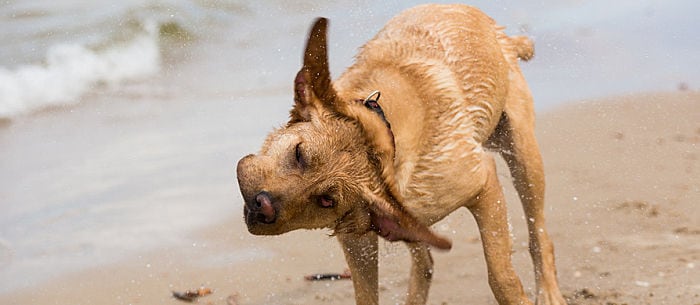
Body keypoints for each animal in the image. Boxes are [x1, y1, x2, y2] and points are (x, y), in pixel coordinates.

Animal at [238, 4, 568, 304]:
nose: (262, 205)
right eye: (299, 153)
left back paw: (548, 292)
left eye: (326, 199)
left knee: (539, 235)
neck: (386, 132)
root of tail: (502, 34)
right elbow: (367, 295)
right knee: (426, 263)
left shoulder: (484, 185)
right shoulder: (358, 237)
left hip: (523, 155)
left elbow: (501, 276)